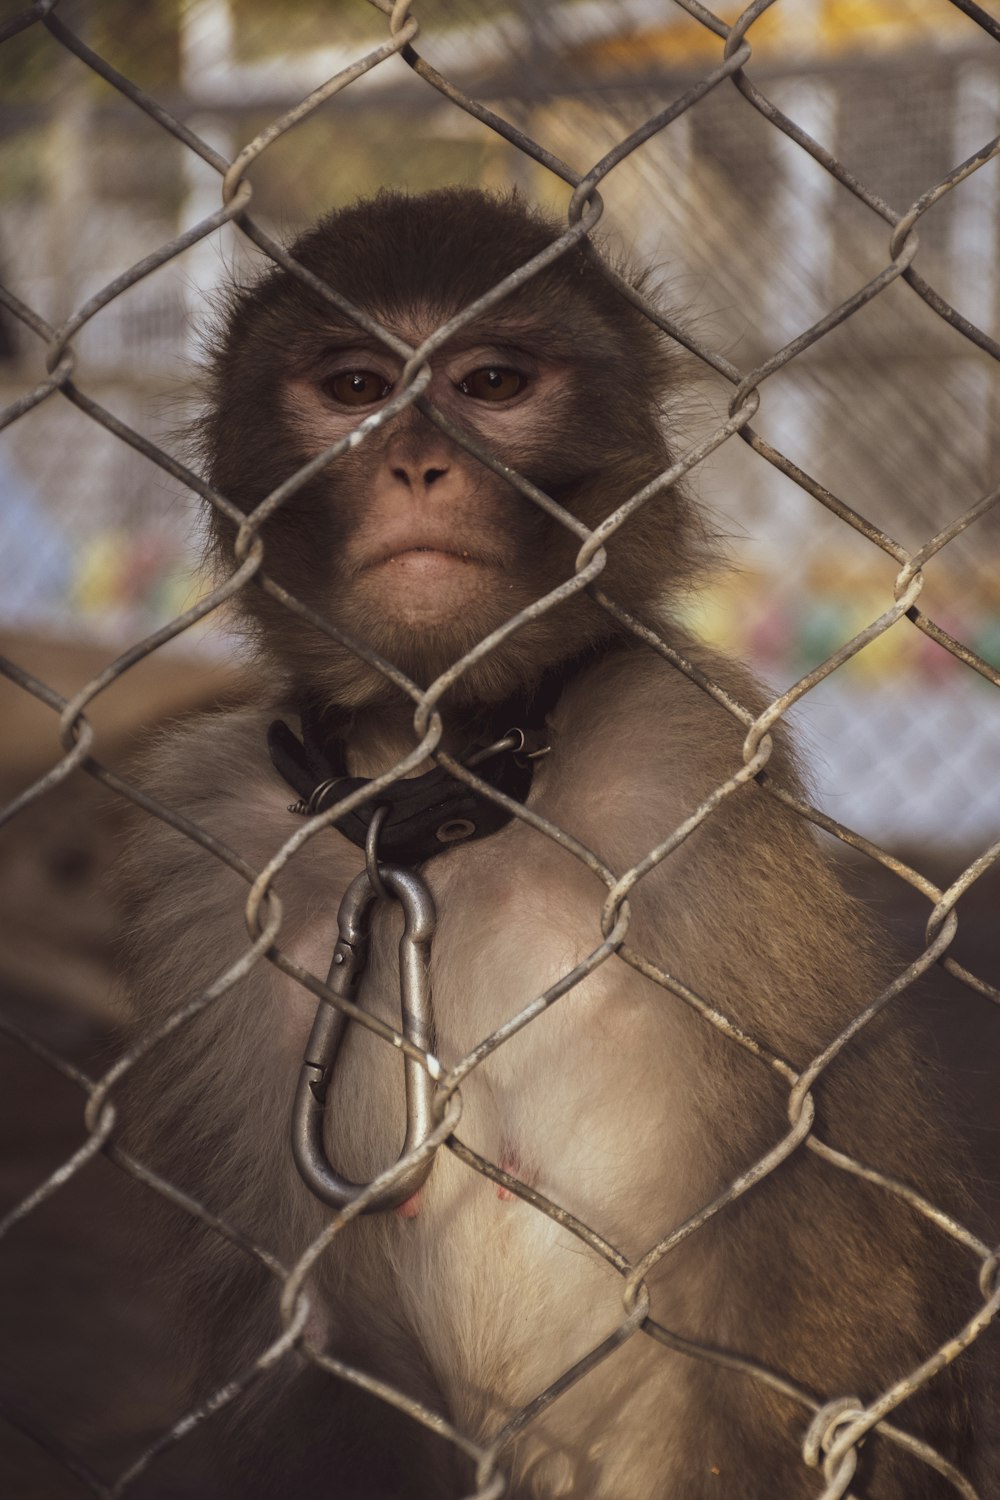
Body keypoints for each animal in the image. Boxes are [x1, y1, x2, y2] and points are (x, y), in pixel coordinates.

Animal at [113, 190, 989, 1500]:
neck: (446, 789)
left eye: (491, 383)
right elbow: (300, 1361)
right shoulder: (214, 847)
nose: (417, 462)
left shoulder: (682, 759)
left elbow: (837, 1268)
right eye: (356, 385)